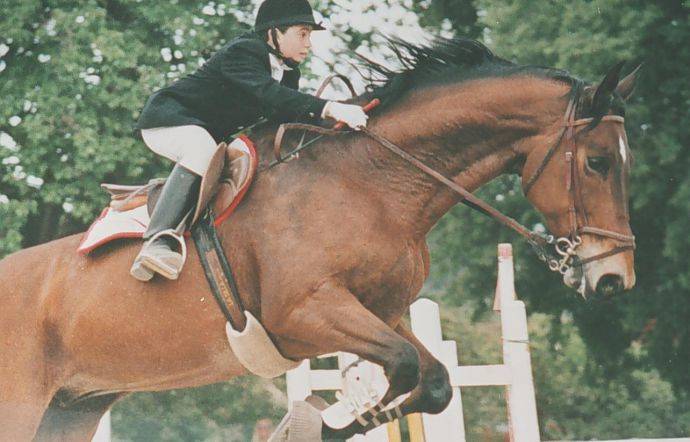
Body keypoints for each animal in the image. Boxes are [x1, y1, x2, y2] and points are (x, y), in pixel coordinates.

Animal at [0, 36, 636, 440]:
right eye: (598, 162)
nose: (613, 279)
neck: (373, 182)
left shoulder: (381, 311)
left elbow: (430, 381)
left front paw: (327, 422)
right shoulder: (304, 313)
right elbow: (404, 366)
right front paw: (317, 422)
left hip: (71, 410)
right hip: (25, 406)